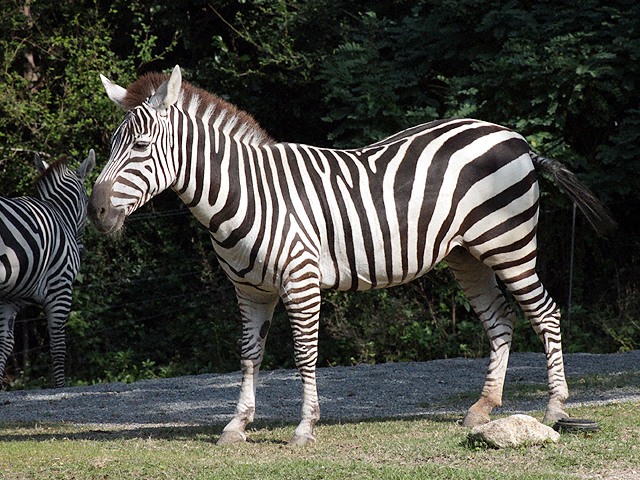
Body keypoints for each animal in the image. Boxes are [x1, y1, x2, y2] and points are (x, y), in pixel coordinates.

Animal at [0, 151, 95, 390]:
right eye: (86, 200)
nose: (83, 252)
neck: (60, 215)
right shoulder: (60, 289)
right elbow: (58, 345)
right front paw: (59, 388)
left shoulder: (9, 297)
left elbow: (5, 343)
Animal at [91, 65, 616, 444]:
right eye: (110, 145)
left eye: (140, 146)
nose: (95, 211)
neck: (250, 194)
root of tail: (518, 139)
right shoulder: (249, 290)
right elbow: (248, 356)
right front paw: (237, 425)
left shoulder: (300, 280)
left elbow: (304, 354)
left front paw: (305, 427)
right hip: (467, 254)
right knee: (501, 319)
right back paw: (483, 408)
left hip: (509, 242)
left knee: (545, 312)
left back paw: (556, 408)